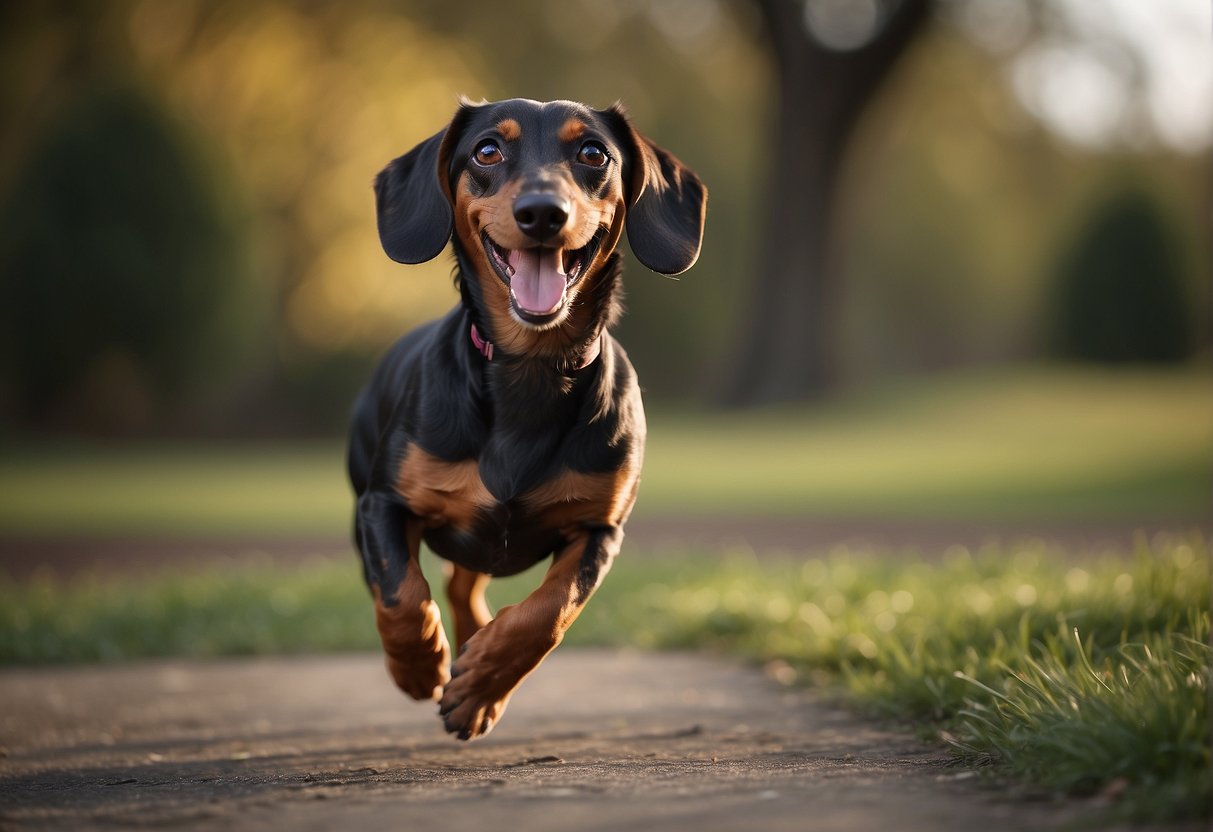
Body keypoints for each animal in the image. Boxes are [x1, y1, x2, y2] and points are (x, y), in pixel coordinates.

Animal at [346, 99, 708, 742]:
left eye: (594, 153)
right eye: (487, 150)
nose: (543, 212)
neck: (532, 369)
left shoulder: (599, 530)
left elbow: (550, 612)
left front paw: (481, 686)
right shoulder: (382, 505)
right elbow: (401, 594)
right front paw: (419, 666)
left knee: (464, 586)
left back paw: (473, 649)